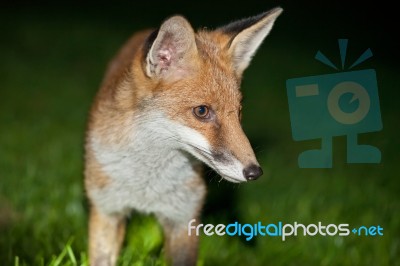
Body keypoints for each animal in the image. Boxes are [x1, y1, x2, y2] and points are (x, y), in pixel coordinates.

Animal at [86, 7, 282, 264]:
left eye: (239, 112)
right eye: (202, 111)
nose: (254, 172)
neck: (147, 187)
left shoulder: (183, 219)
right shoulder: (107, 209)